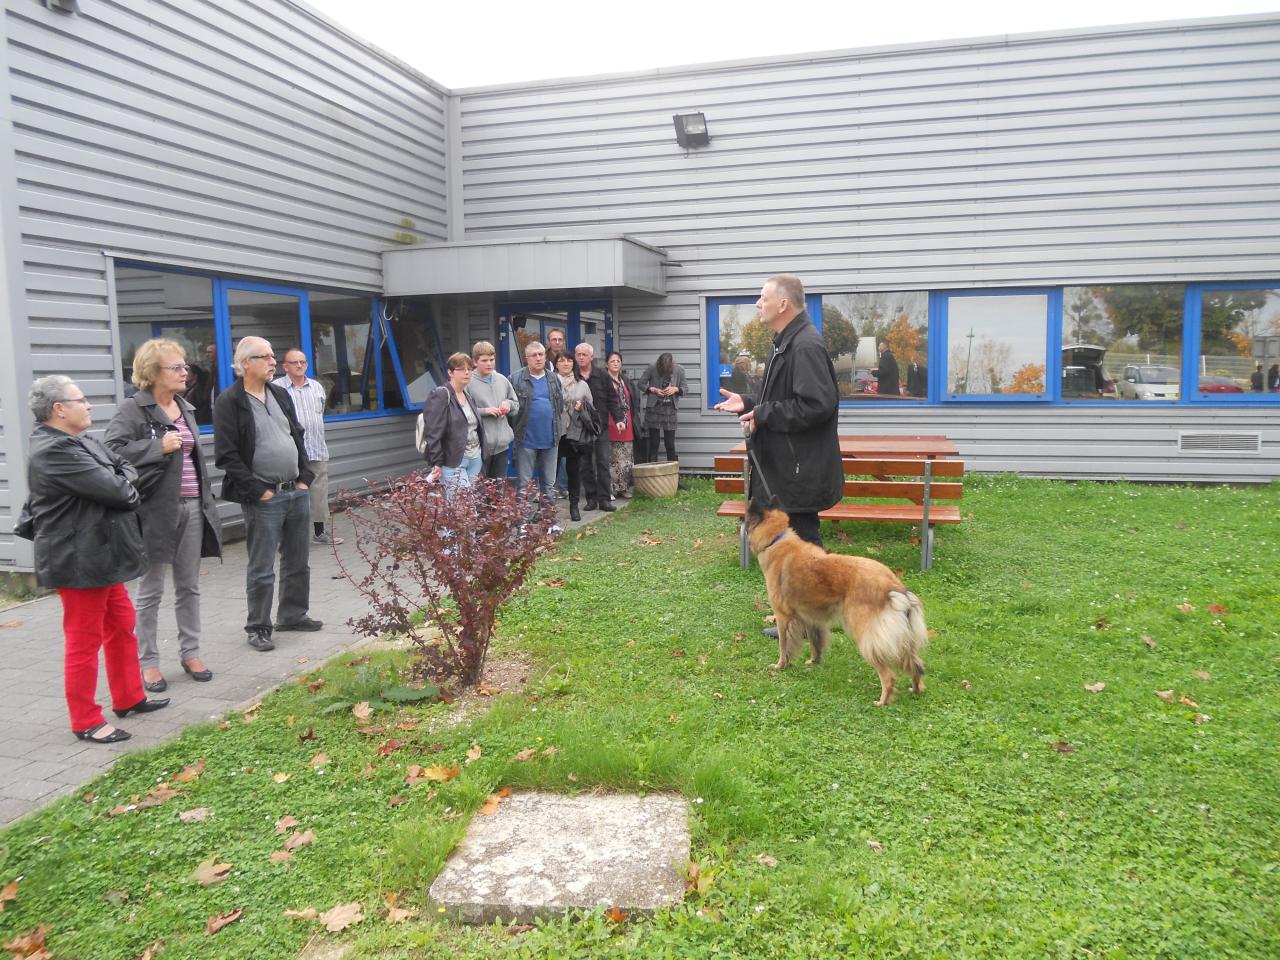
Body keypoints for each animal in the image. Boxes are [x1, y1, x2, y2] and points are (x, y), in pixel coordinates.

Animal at [747, 496, 926, 706]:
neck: (776, 538)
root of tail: (893, 585)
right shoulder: (810, 617)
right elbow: (815, 643)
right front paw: (814, 662)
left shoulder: (783, 616)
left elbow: (784, 646)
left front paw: (780, 665)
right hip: (905, 638)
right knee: (916, 665)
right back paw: (915, 689)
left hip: (865, 635)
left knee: (888, 675)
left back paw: (882, 701)